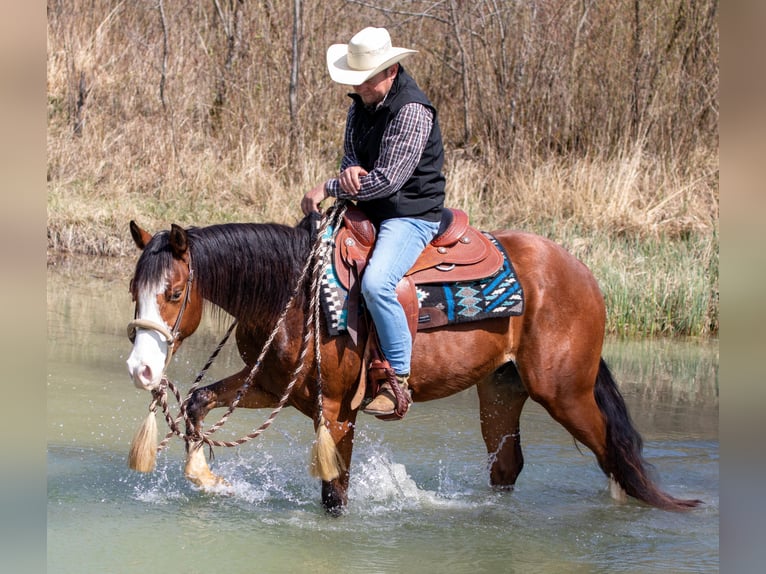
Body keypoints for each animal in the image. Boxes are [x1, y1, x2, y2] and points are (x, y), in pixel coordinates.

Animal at [125, 210, 701, 514]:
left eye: (173, 292)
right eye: (135, 290)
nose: (141, 371)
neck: (295, 294)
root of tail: (581, 272)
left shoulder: (336, 410)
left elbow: (334, 494)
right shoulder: (270, 384)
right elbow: (198, 401)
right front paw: (206, 476)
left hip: (565, 392)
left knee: (611, 451)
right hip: (501, 391)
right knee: (508, 465)